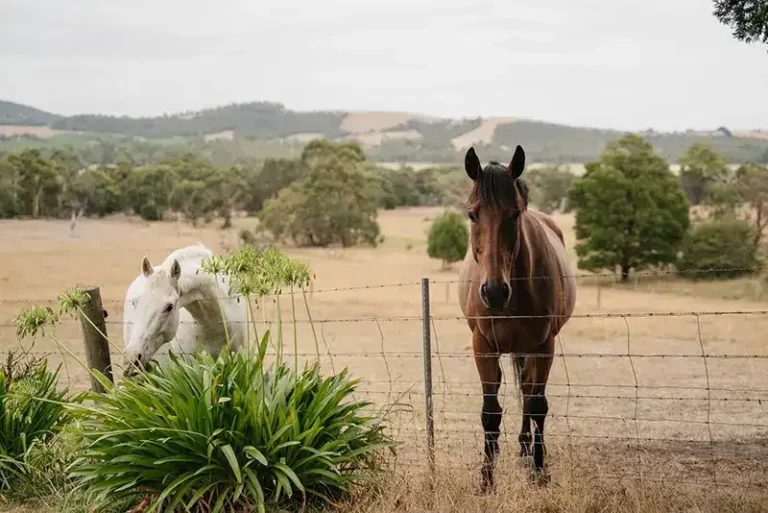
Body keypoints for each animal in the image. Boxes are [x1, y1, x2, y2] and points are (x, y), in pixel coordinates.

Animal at [456, 146, 576, 490]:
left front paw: (539, 471)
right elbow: (490, 412)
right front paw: (486, 479)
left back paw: (526, 450)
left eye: (514, 214)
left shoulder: (543, 346)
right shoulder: (483, 347)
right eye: (472, 214)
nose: (494, 292)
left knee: (528, 391)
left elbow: (537, 405)